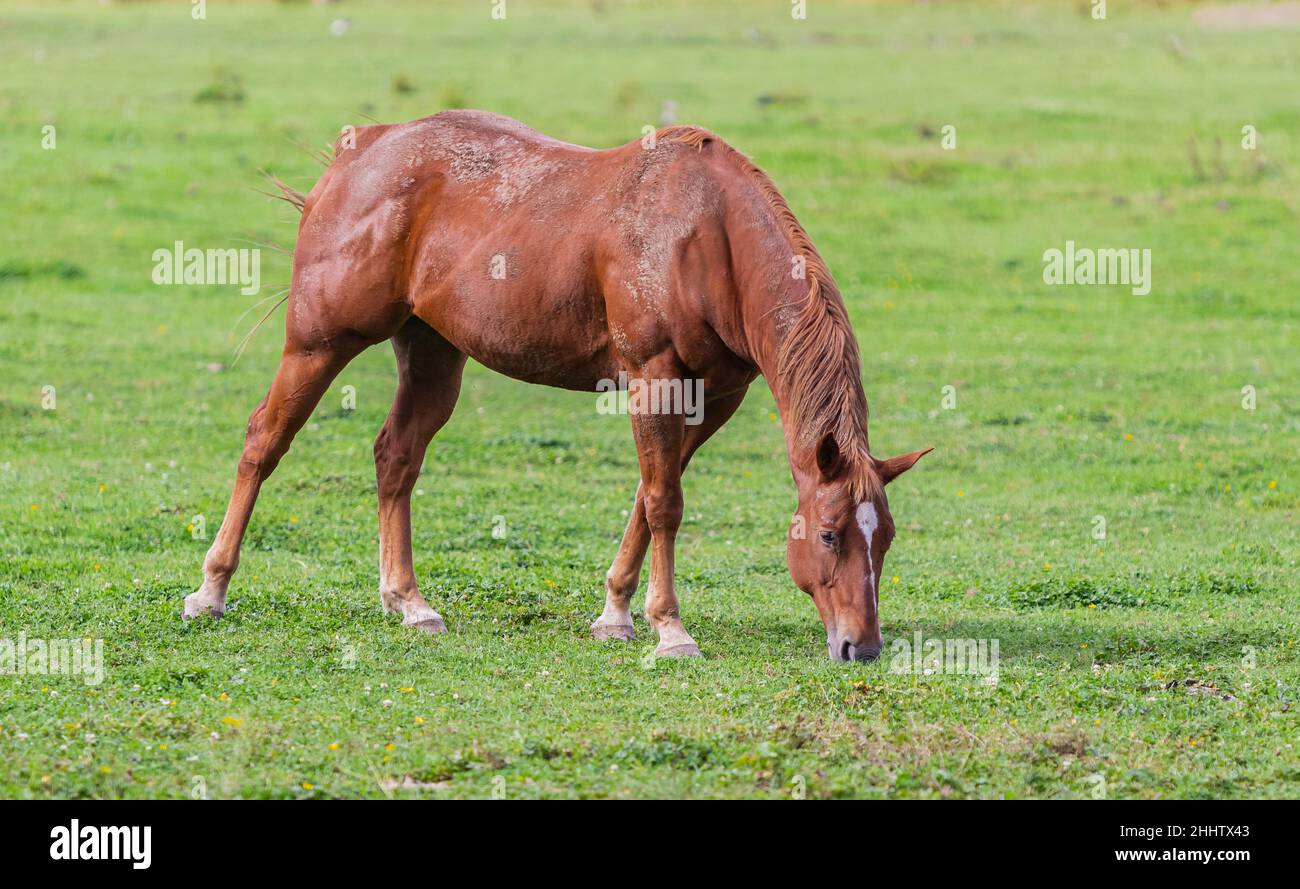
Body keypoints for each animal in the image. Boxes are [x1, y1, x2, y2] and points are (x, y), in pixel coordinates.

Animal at [184, 110, 930, 662]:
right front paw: (669, 629)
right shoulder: (656, 380)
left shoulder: (715, 397)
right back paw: (211, 588)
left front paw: (616, 612)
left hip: (432, 355)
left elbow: (648, 497)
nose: (862, 647)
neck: (707, 236)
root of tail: (360, 149)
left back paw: (409, 601)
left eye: (886, 538)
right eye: (830, 535)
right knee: (264, 440)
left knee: (395, 456)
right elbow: (665, 503)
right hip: (319, 343)